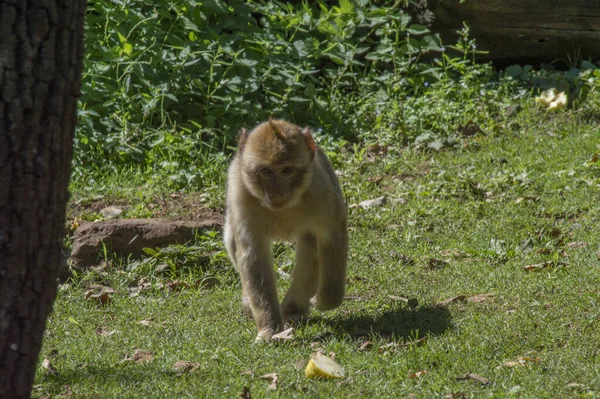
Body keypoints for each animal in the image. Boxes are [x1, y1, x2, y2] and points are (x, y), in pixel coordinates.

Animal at [224, 118, 346, 340]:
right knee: (231, 240)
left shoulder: (323, 190)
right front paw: (269, 329)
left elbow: (331, 236)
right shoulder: (240, 193)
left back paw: (294, 309)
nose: (278, 192)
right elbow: (253, 255)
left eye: (287, 170)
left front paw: (325, 300)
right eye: (266, 171)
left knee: (310, 245)